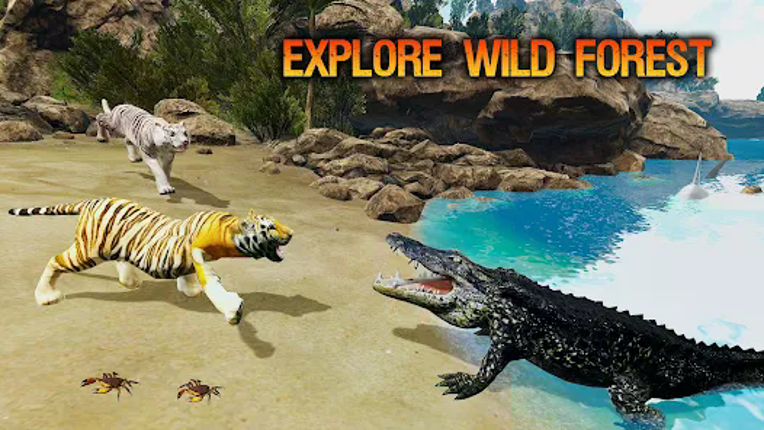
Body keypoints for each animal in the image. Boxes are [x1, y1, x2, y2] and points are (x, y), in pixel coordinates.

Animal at [8, 198, 294, 325]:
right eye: (271, 227)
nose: (291, 233)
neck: (230, 232)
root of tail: (92, 200)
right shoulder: (197, 250)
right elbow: (212, 282)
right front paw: (233, 309)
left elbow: (189, 273)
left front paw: (189, 288)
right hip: (87, 252)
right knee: (54, 261)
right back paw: (46, 296)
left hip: (113, 246)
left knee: (120, 259)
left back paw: (130, 281)